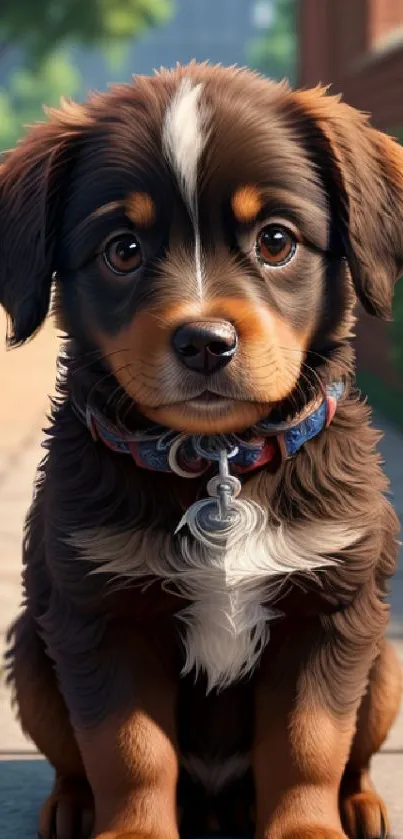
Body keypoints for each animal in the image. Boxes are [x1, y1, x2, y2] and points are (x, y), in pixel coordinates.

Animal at [0, 62, 403, 836]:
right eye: (123, 250)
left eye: (276, 241)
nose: (205, 343)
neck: (216, 460)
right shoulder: (100, 615)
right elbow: (128, 751)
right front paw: (131, 830)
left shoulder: (332, 608)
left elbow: (309, 742)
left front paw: (308, 827)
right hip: (32, 650)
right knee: (74, 759)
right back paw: (71, 804)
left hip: (385, 663)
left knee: (354, 755)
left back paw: (360, 803)